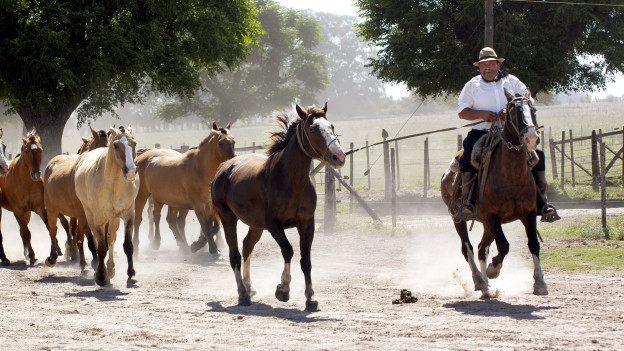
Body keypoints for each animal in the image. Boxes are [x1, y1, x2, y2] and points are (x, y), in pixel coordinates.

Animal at [0, 131, 70, 266]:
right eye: (26, 151)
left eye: (40, 150)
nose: (36, 174)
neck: (26, 182)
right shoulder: (18, 211)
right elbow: (27, 233)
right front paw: (32, 255)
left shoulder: (41, 208)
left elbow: (49, 227)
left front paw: (54, 252)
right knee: (23, 231)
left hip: (27, 213)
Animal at [74, 126, 139, 286]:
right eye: (115, 145)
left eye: (134, 143)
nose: (131, 172)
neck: (113, 184)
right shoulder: (99, 219)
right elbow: (101, 247)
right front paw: (101, 276)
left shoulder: (128, 215)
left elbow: (127, 245)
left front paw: (131, 275)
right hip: (90, 215)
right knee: (99, 241)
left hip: (114, 219)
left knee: (110, 239)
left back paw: (111, 269)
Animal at [211, 103, 346, 312]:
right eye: (313, 129)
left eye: (331, 126)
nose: (339, 157)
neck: (291, 180)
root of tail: (225, 167)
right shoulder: (274, 225)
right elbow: (288, 250)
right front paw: (283, 289)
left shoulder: (307, 223)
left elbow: (306, 260)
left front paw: (311, 298)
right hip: (228, 219)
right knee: (235, 254)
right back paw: (243, 294)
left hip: (256, 225)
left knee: (247, 246)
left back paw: (249, 287)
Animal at [442, 90, 548, 296]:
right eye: (513, 111)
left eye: (533, 109)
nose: (531, 138)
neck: (511, 175)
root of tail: (447, 173)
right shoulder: (492, 217)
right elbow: (504, 246)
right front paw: (493, 270)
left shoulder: (529, 213)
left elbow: (533, 243)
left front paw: (540, 282)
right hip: (458, 218)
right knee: (468, 248)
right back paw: (480, 280)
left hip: (487, 225)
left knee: (482, 247)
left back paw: (486, 287)